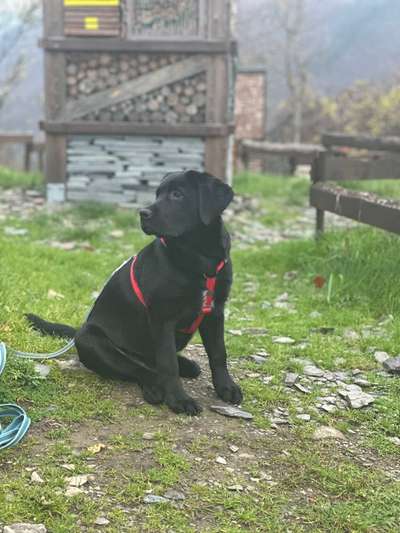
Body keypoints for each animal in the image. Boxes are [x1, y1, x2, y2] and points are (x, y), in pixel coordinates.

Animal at [28, 170, 242, 416]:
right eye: (157, 194)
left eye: (177, 194)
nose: (143, 213)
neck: (199, 256)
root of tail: (78, 331)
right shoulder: (163, 318)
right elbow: (168, 364)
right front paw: (178, 399)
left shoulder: (215, 311)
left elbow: (218, 354)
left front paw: (226, 387)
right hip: (89, 339)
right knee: (140, 369)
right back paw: (155, 388)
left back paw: (186, 366)